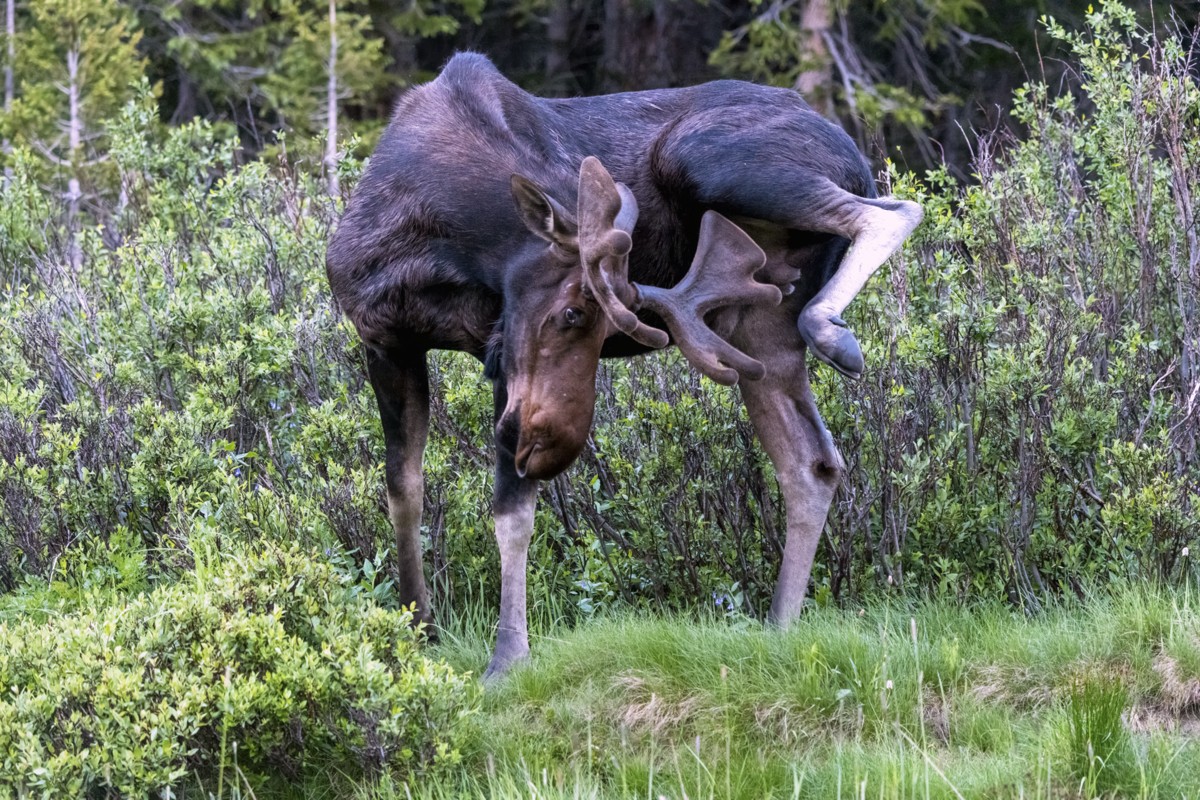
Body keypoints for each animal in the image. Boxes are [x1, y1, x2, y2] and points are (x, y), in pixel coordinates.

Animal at [324, 53, 921, 681]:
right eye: (572, 312)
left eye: (607, 330)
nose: (552, 448)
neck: (439, 240)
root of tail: (851, 151)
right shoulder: (386, 340)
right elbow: (404, 490)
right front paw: (417, 626)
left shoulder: (497, 358)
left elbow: (511, 511)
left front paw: (507, 658)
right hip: (757, 322)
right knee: (811, 463)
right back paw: (779, 625)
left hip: (705, 158)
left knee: (894, 211)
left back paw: (831, 327)